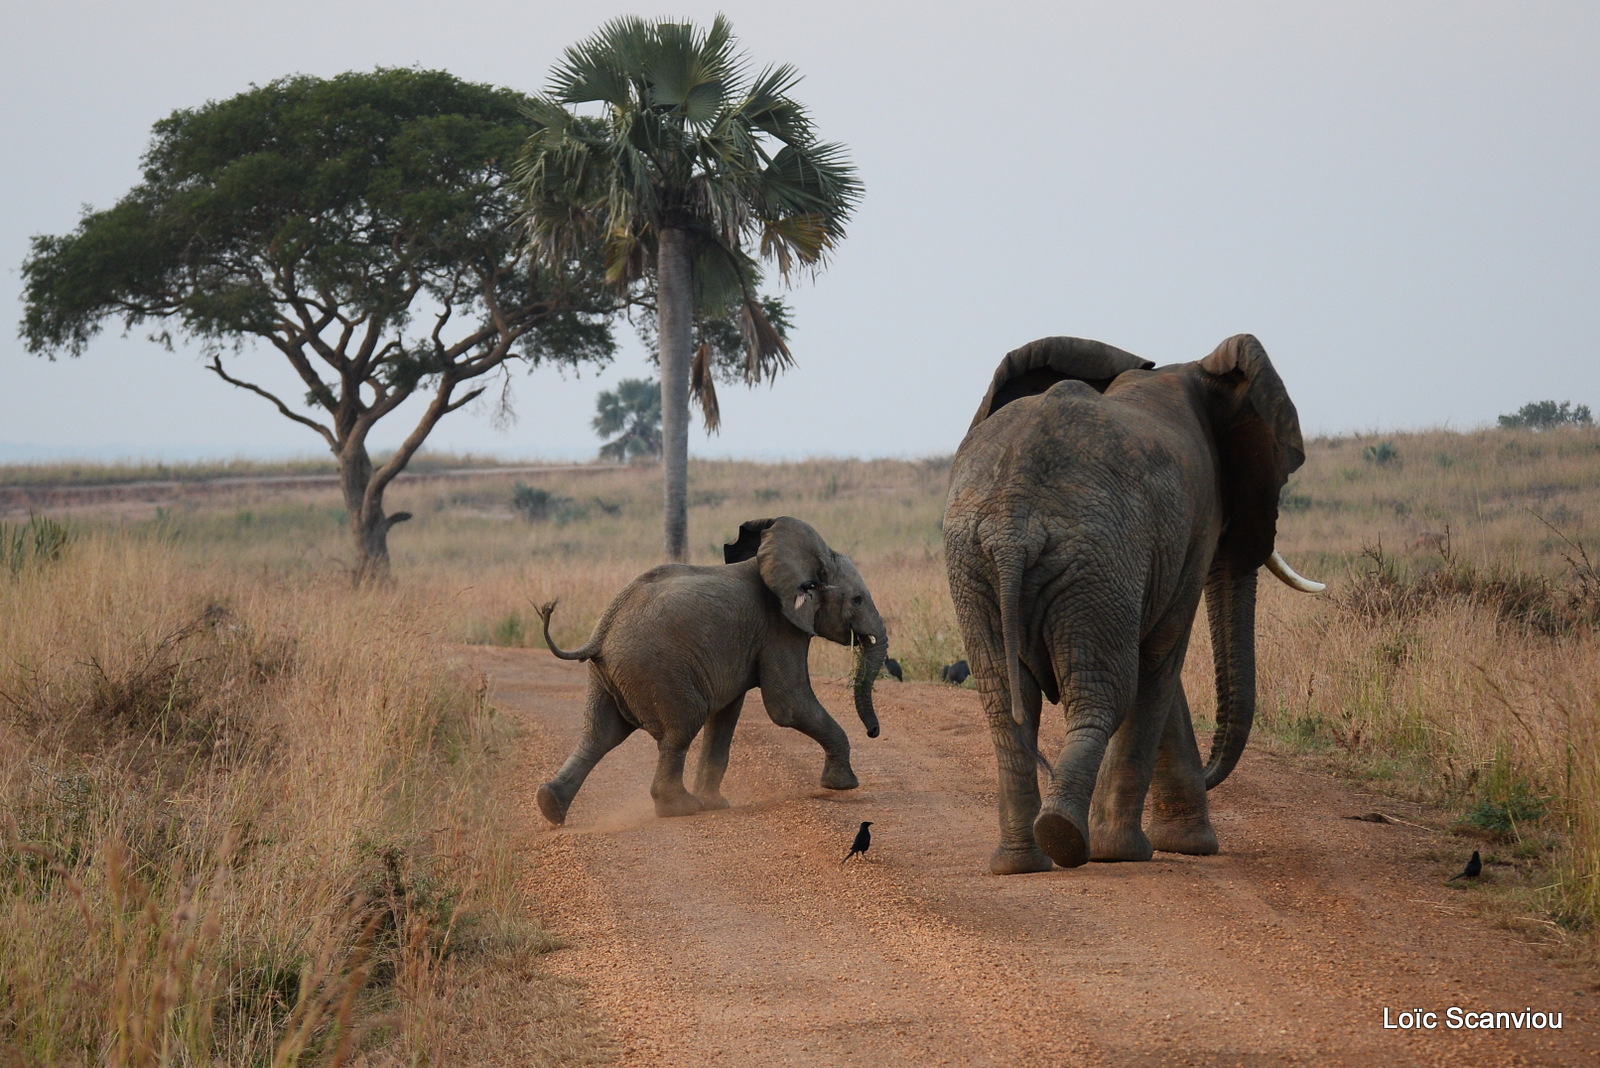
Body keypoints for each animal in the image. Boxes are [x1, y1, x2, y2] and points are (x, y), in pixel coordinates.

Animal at [534, 518, 889, 824]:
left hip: (609, 675)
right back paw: (680, 808)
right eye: (858, 599)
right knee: (681, 725)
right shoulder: (780, 627)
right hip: (659, 671)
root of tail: (600, 634)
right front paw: (844, 785)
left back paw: (550, 806)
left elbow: (727, 714)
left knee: (599, 735)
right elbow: (788, 704)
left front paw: (716, 804)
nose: (873, 732)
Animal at [940, 335, 1318, 876]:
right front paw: (1134, 851)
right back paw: (1073, 843)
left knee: (1004, 700)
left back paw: (1023, 862)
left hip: (983, 564)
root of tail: (1012, 526)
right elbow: (1161, 658)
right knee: (1105, 691)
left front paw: (1185, 844)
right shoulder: (1196, 521)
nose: (1212, 773)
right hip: (1091, 558)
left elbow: (1157, 663)